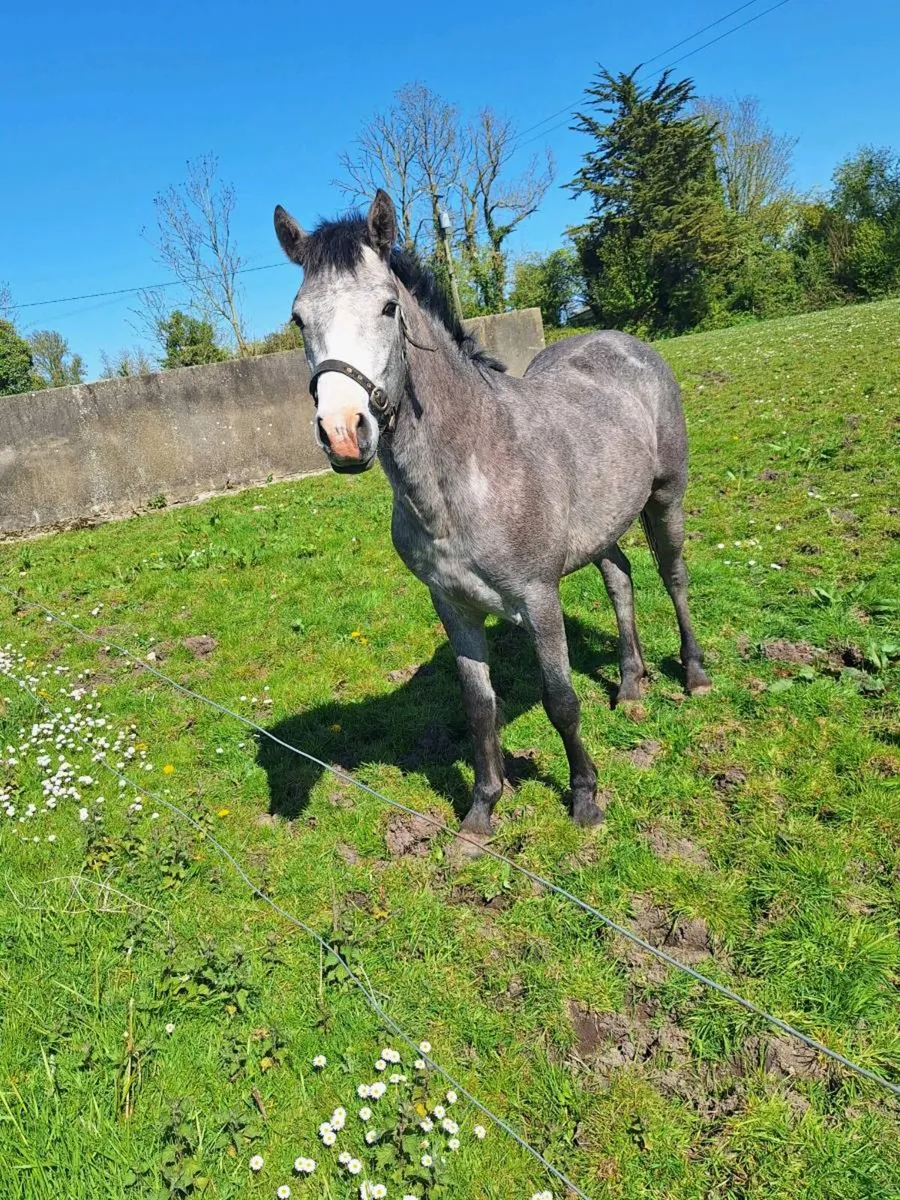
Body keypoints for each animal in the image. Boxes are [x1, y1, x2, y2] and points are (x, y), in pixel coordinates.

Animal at [273, 190, 711, 837]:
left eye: (387, 308)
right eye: (300, 318)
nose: (344, 433)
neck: (466, 472)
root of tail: (624, 342)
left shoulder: (539, 597)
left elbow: (561, 700)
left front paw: (585, 799)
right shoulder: (452, 606)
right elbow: (479, 706)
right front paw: (481, 811)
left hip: (666, 497)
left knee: (673, 577)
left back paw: (695, 675)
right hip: (602, 528)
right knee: (621, 579)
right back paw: (631, 686)